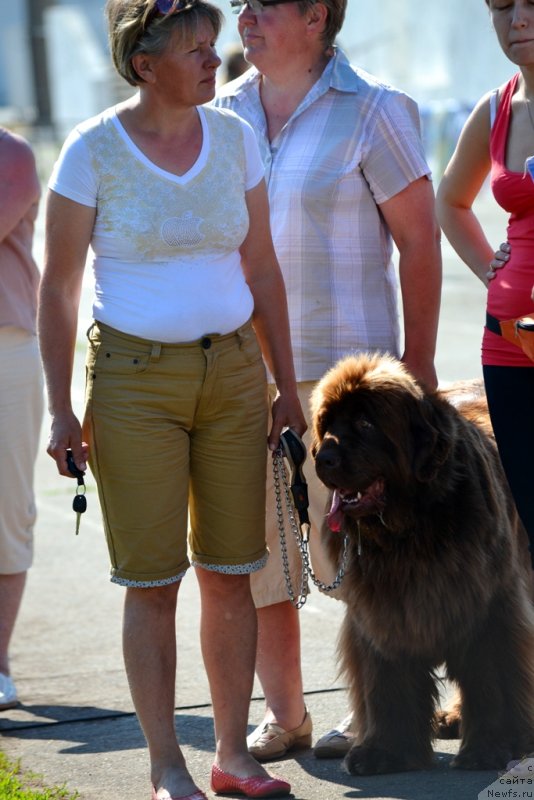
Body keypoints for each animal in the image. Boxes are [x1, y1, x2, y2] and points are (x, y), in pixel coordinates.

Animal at [312, 354, 534, 772]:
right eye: (326, 423)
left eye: (365, 424)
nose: (323, 457)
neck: (410, 531)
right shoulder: (382, 613)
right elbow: (387, 683)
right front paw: (385, 751)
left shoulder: (489, 604)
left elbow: (492, 675)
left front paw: (490, 747)